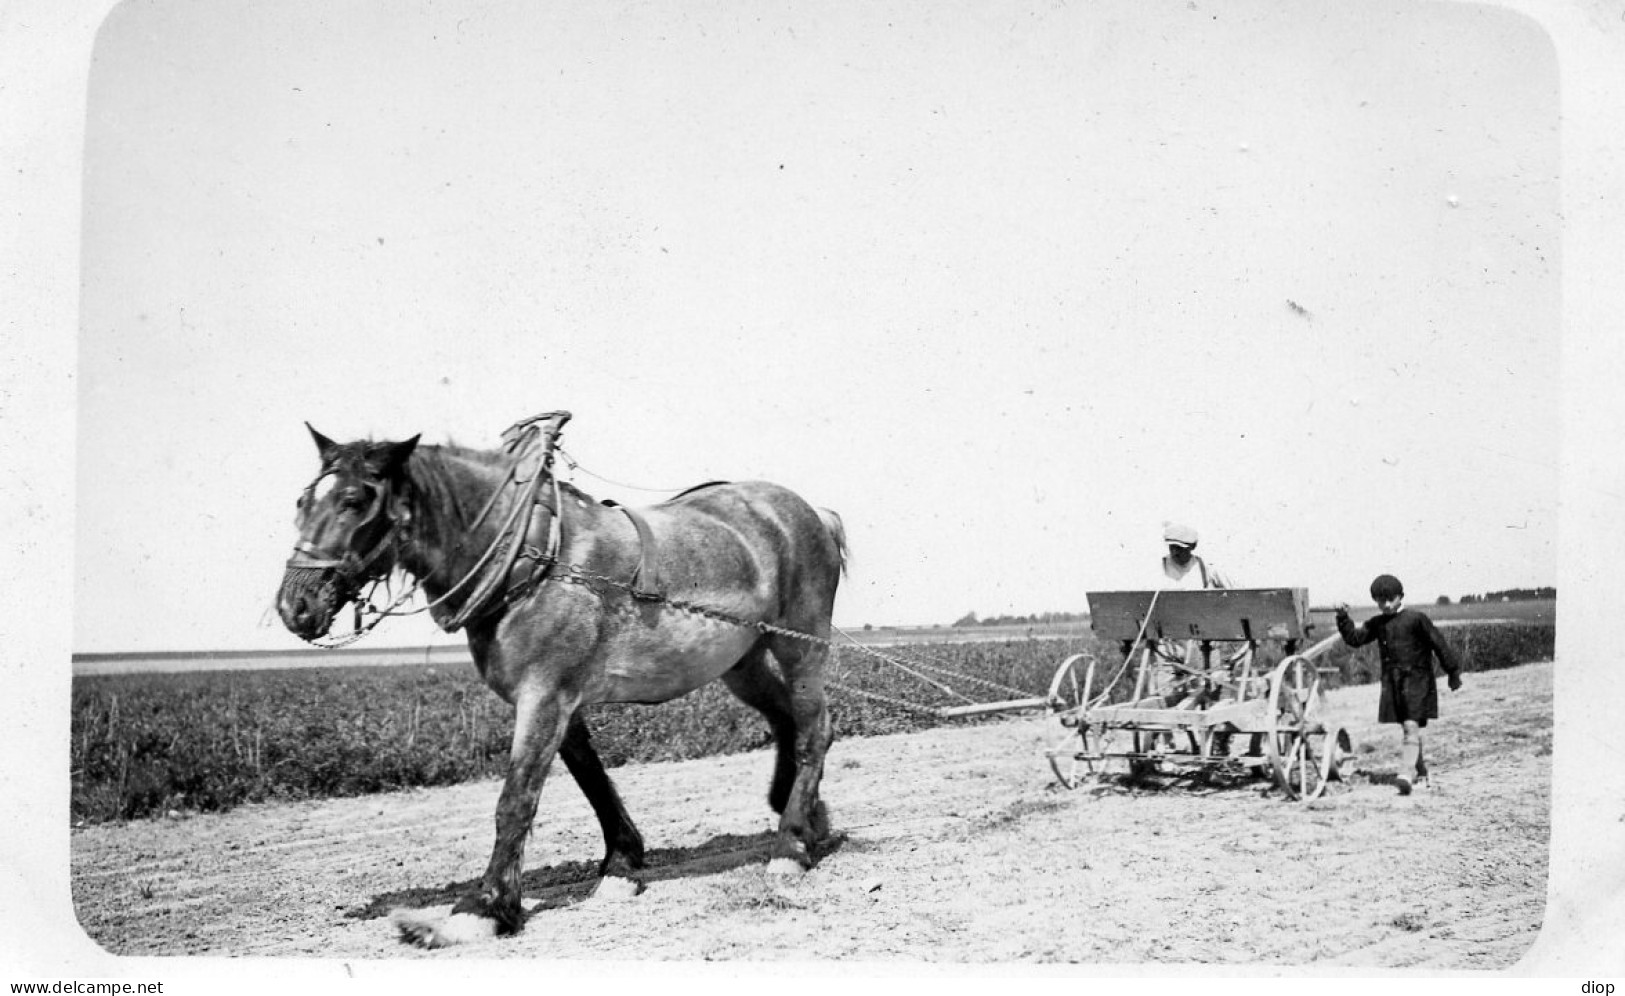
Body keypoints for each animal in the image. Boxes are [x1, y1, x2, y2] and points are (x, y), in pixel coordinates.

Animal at [271, 414, 845, 948]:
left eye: (353, 499)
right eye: (302, 500)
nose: (295, 606)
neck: (531, 558)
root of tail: (813, 512)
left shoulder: (545, 695)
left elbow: (516, 799)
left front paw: (483, 908)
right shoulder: (557, 700)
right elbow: (591, 778)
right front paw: (621, 866)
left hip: (801, 645)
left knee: (814, 729)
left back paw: (790, 847)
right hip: (741, 663)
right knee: (786, 721)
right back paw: (805, 819)